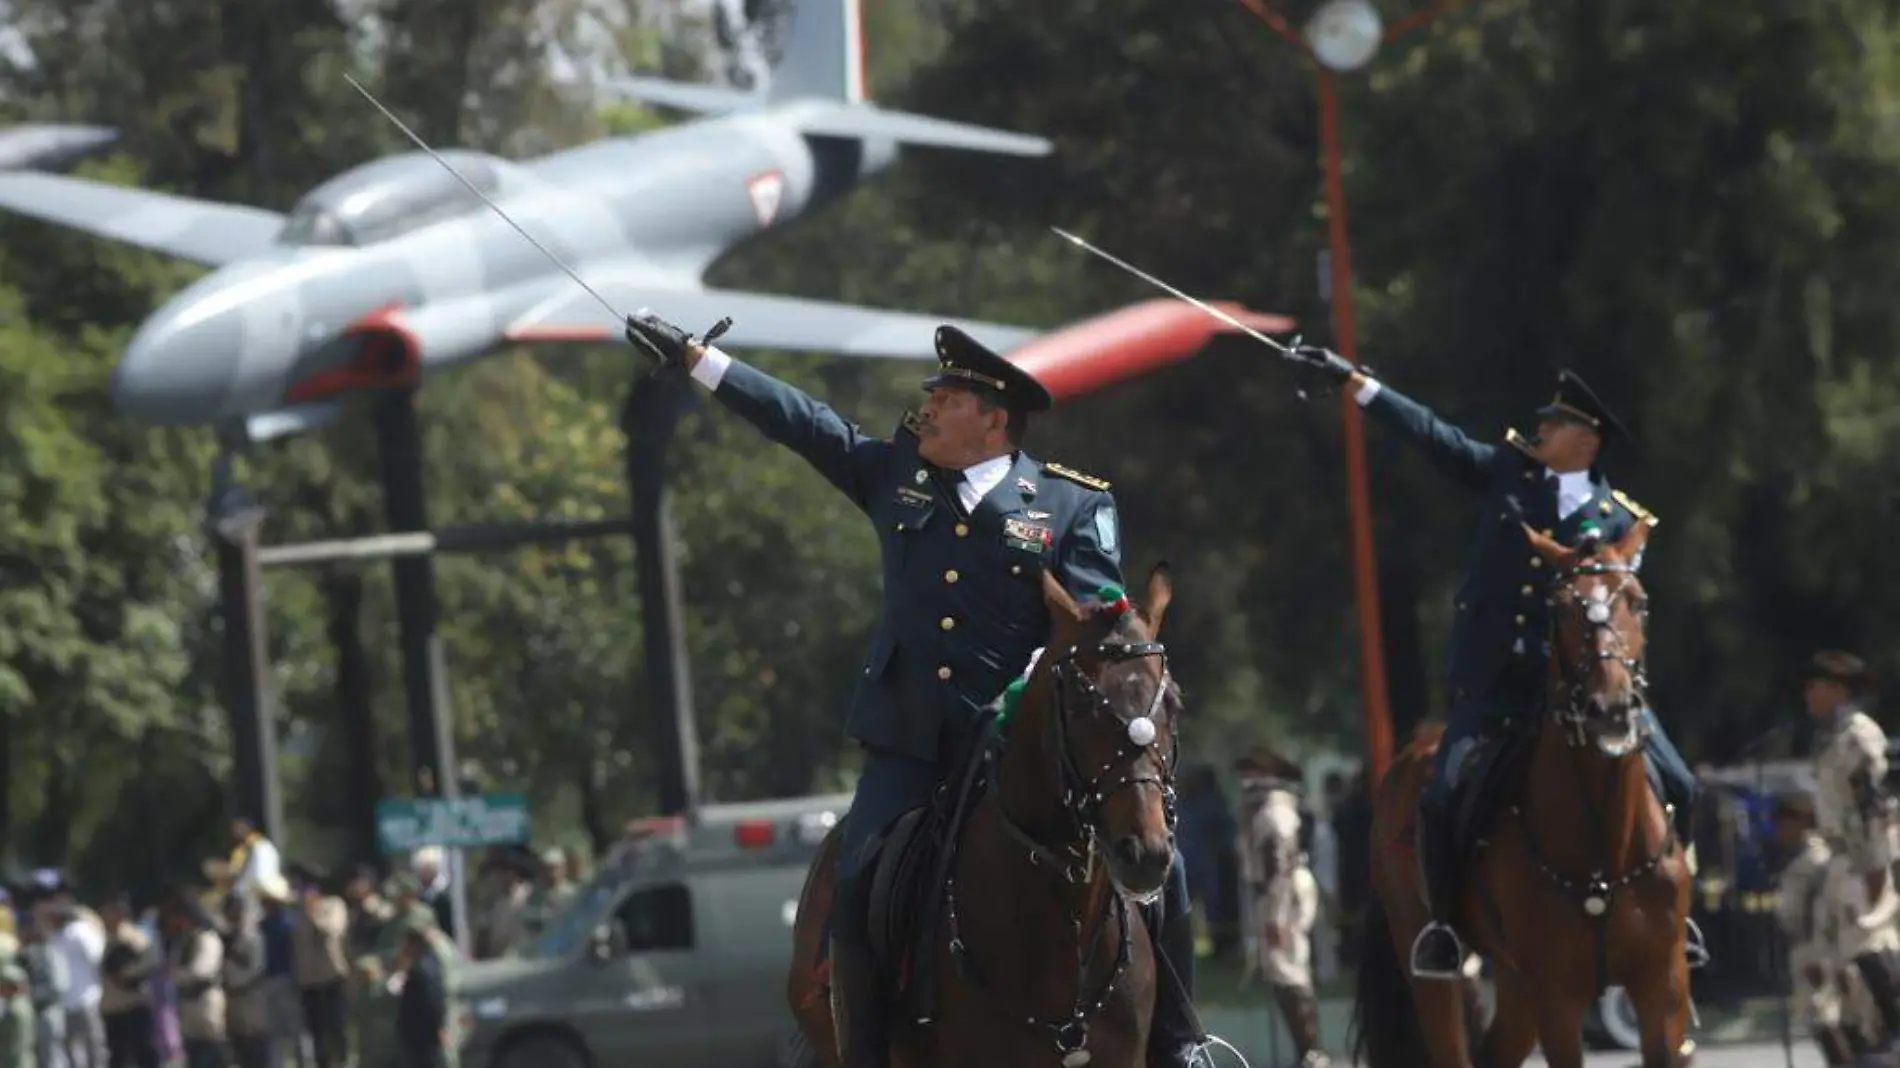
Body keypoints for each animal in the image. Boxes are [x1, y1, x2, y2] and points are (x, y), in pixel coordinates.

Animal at [1352, 516, 1694, 1064]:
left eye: (1639, 602)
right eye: (1561, 607)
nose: (1610, 708)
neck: (1603, 850)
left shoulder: (1662, 990)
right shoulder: (1558, 997)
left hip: (1515, 983)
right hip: (1434, 971)